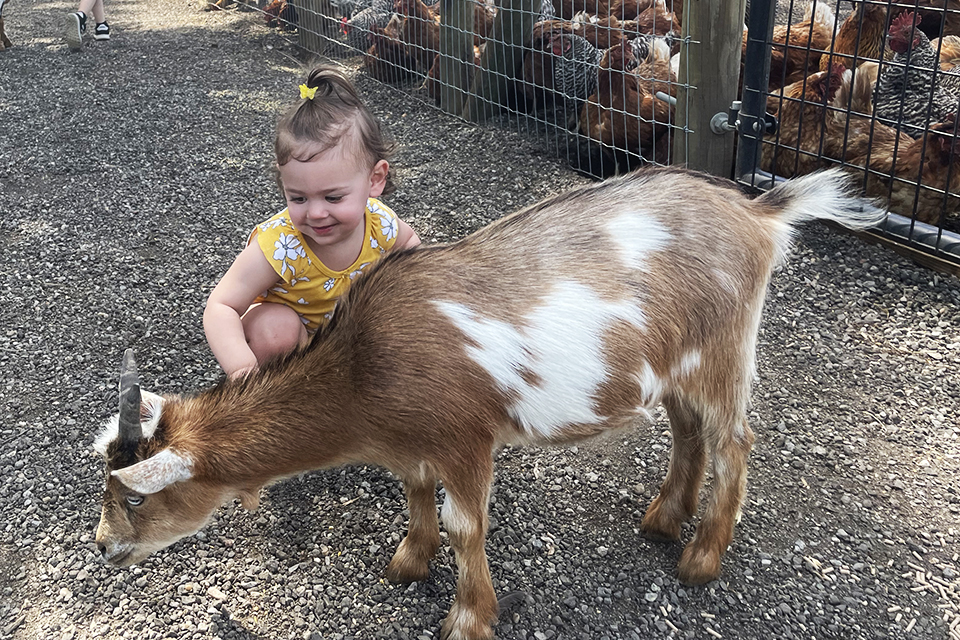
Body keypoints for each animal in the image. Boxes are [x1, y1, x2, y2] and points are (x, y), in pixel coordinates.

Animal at [94, 167, 884, 640]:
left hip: (723, 351)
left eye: (134, 498)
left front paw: (468, 619)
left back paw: (700, 558)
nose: (102, 547)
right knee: (689, 433)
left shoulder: (466, 437)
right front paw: (407, 563)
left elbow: (465, 525)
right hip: (675, 366)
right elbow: (416, 496)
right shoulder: (411, 442)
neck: (362, 371)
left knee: (733, 440)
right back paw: (663, 521)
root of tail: (759, 210)